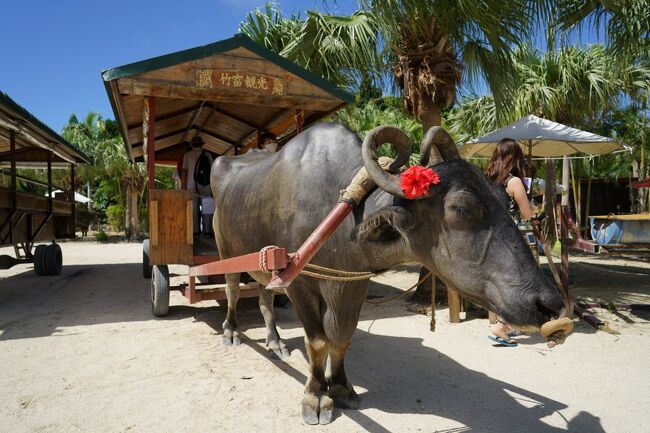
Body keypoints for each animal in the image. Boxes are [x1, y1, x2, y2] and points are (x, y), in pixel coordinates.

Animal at [210, 123, 564, 424]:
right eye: (462, 208)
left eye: (506, 201)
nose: (551, 304)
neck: (339, 211)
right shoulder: (299, 284)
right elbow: (318, 341)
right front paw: (316, 396)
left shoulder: (351, 283)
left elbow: (341, 337)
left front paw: (341, 388)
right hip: (226, 252)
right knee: (232, 290)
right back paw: (231, 331)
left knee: (265, 297)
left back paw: (275, 342)